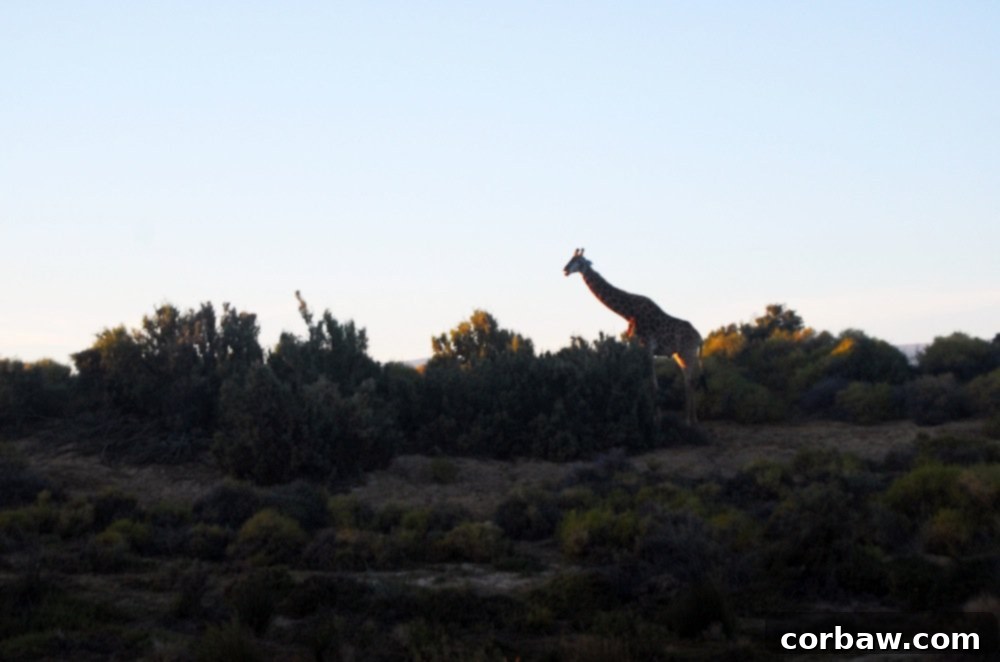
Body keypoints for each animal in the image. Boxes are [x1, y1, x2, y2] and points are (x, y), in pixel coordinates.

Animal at [563, 248, 703, 424]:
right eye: (570, 258)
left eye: (579, 261)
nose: (565, 270)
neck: (628, 312)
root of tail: (700, 337)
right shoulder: (636, 346)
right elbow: (641, 381)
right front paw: (646, 414)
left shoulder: (647, 346)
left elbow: (652, 384)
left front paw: (655, 419)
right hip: (680, 355)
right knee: (689, 381)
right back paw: (693, 419)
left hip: (688, 352)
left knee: (689, 382)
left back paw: (688, 420)